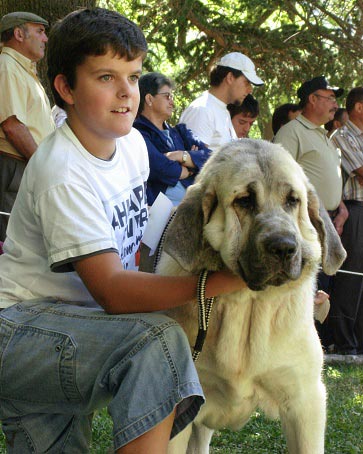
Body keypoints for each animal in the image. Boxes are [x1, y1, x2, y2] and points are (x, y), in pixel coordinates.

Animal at [154, 140, 346, 452]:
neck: (247, 306)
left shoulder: (305, 403)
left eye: (293, 200)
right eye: (244, 201)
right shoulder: (182, 413)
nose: (284, 247)